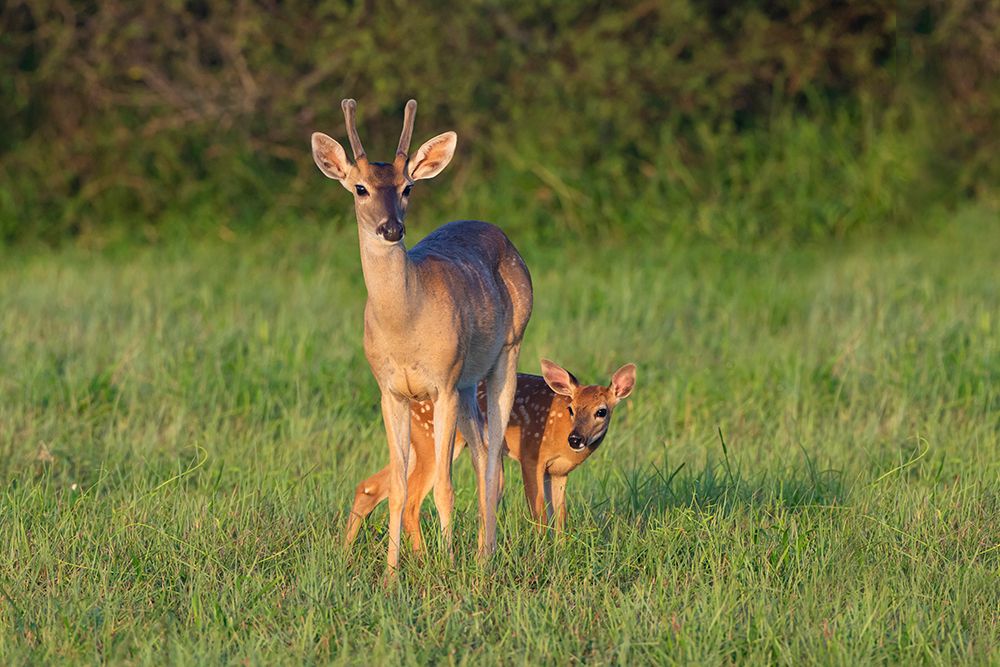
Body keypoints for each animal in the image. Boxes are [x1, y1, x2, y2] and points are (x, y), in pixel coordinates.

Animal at [311, 99, 532, 576]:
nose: (392, 229)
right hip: (467, 383)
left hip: (506, 351)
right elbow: (397, 485)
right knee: (482, 454)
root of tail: (501, 234)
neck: (404, 327)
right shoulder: (390, 390)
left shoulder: (442, 382)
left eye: (408, 188)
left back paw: (485, 557)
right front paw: (392, 573)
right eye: (360, 188)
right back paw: (482, 552)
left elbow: (445, 487)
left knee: (491, 460)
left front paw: (446, 567)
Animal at [344, 360, 636, 549]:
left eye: (601, 411)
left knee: (371, 486)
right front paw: (543, 552)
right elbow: (539, 512)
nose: (576, 439)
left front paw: (561, 550)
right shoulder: (531, 455)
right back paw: (422, 558)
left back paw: (346, 552)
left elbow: (560, 516)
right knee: (411, 500)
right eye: (572, 408)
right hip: (433, 441)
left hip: (418, 444)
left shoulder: (559, 472)